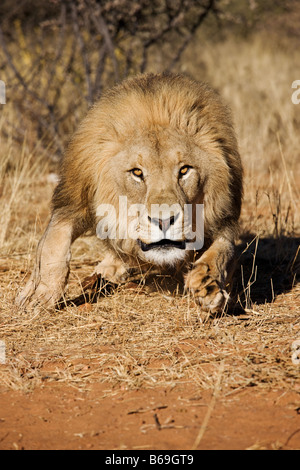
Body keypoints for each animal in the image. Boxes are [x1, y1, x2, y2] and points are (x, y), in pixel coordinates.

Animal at [16, 73, 243, 314]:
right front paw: (39, 294)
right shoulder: (74, 199)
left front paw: (208, 286)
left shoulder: (224, 215)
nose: (164, 221)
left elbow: (223, 250)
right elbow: (53, 243)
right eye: (137, 172)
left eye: (184, 170)